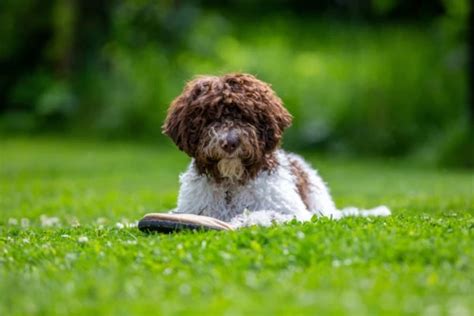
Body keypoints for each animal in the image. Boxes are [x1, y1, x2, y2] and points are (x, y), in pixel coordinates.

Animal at [163, 73, 388, 227]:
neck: (232, 183)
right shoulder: (190, 209)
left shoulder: (295, 213)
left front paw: (239, 221)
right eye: (210, 117)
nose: (230, 143)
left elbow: (261, 213)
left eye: (245, 116)